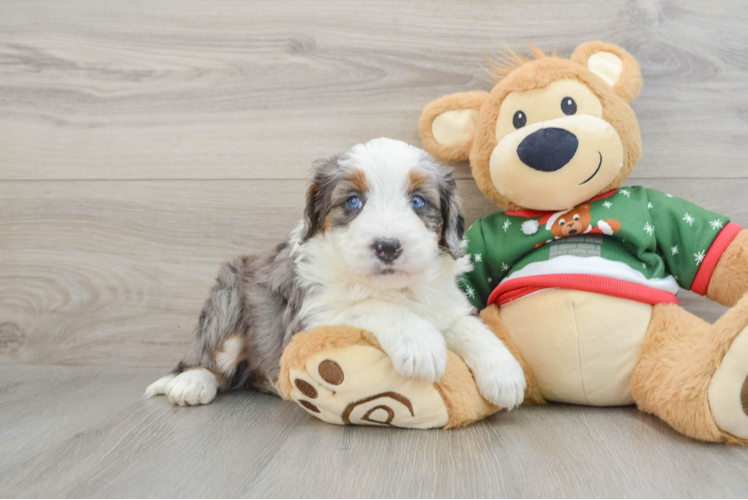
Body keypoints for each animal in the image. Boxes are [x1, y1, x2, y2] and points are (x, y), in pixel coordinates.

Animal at [146, 138, 524, 410]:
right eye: (353, 202)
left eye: (418, 202)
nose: (388, 246)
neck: (392, 287)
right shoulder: (310, 316)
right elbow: (369, 305)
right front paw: (419, 342)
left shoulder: (444, 302)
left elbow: (467, 326)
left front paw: (504, 372)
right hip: (228, 302)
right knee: (207, 358)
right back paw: (191, 383)